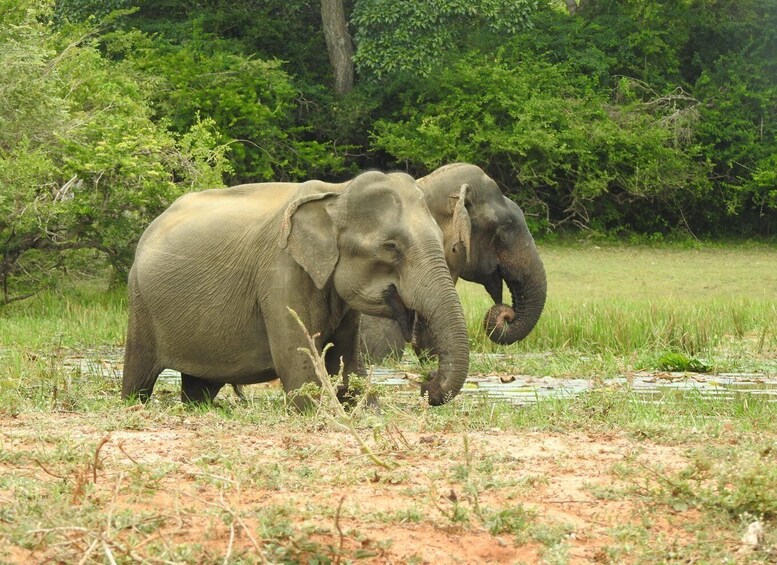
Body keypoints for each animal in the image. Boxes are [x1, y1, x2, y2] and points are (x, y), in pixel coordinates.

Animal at [121, 171, 470, 408]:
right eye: (391, 247)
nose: (425, 383)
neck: (336, 194)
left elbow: (347, 363)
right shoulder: (281, 272)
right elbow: (299, 363)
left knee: (199, 387)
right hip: (139, 302)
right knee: (139, 375)